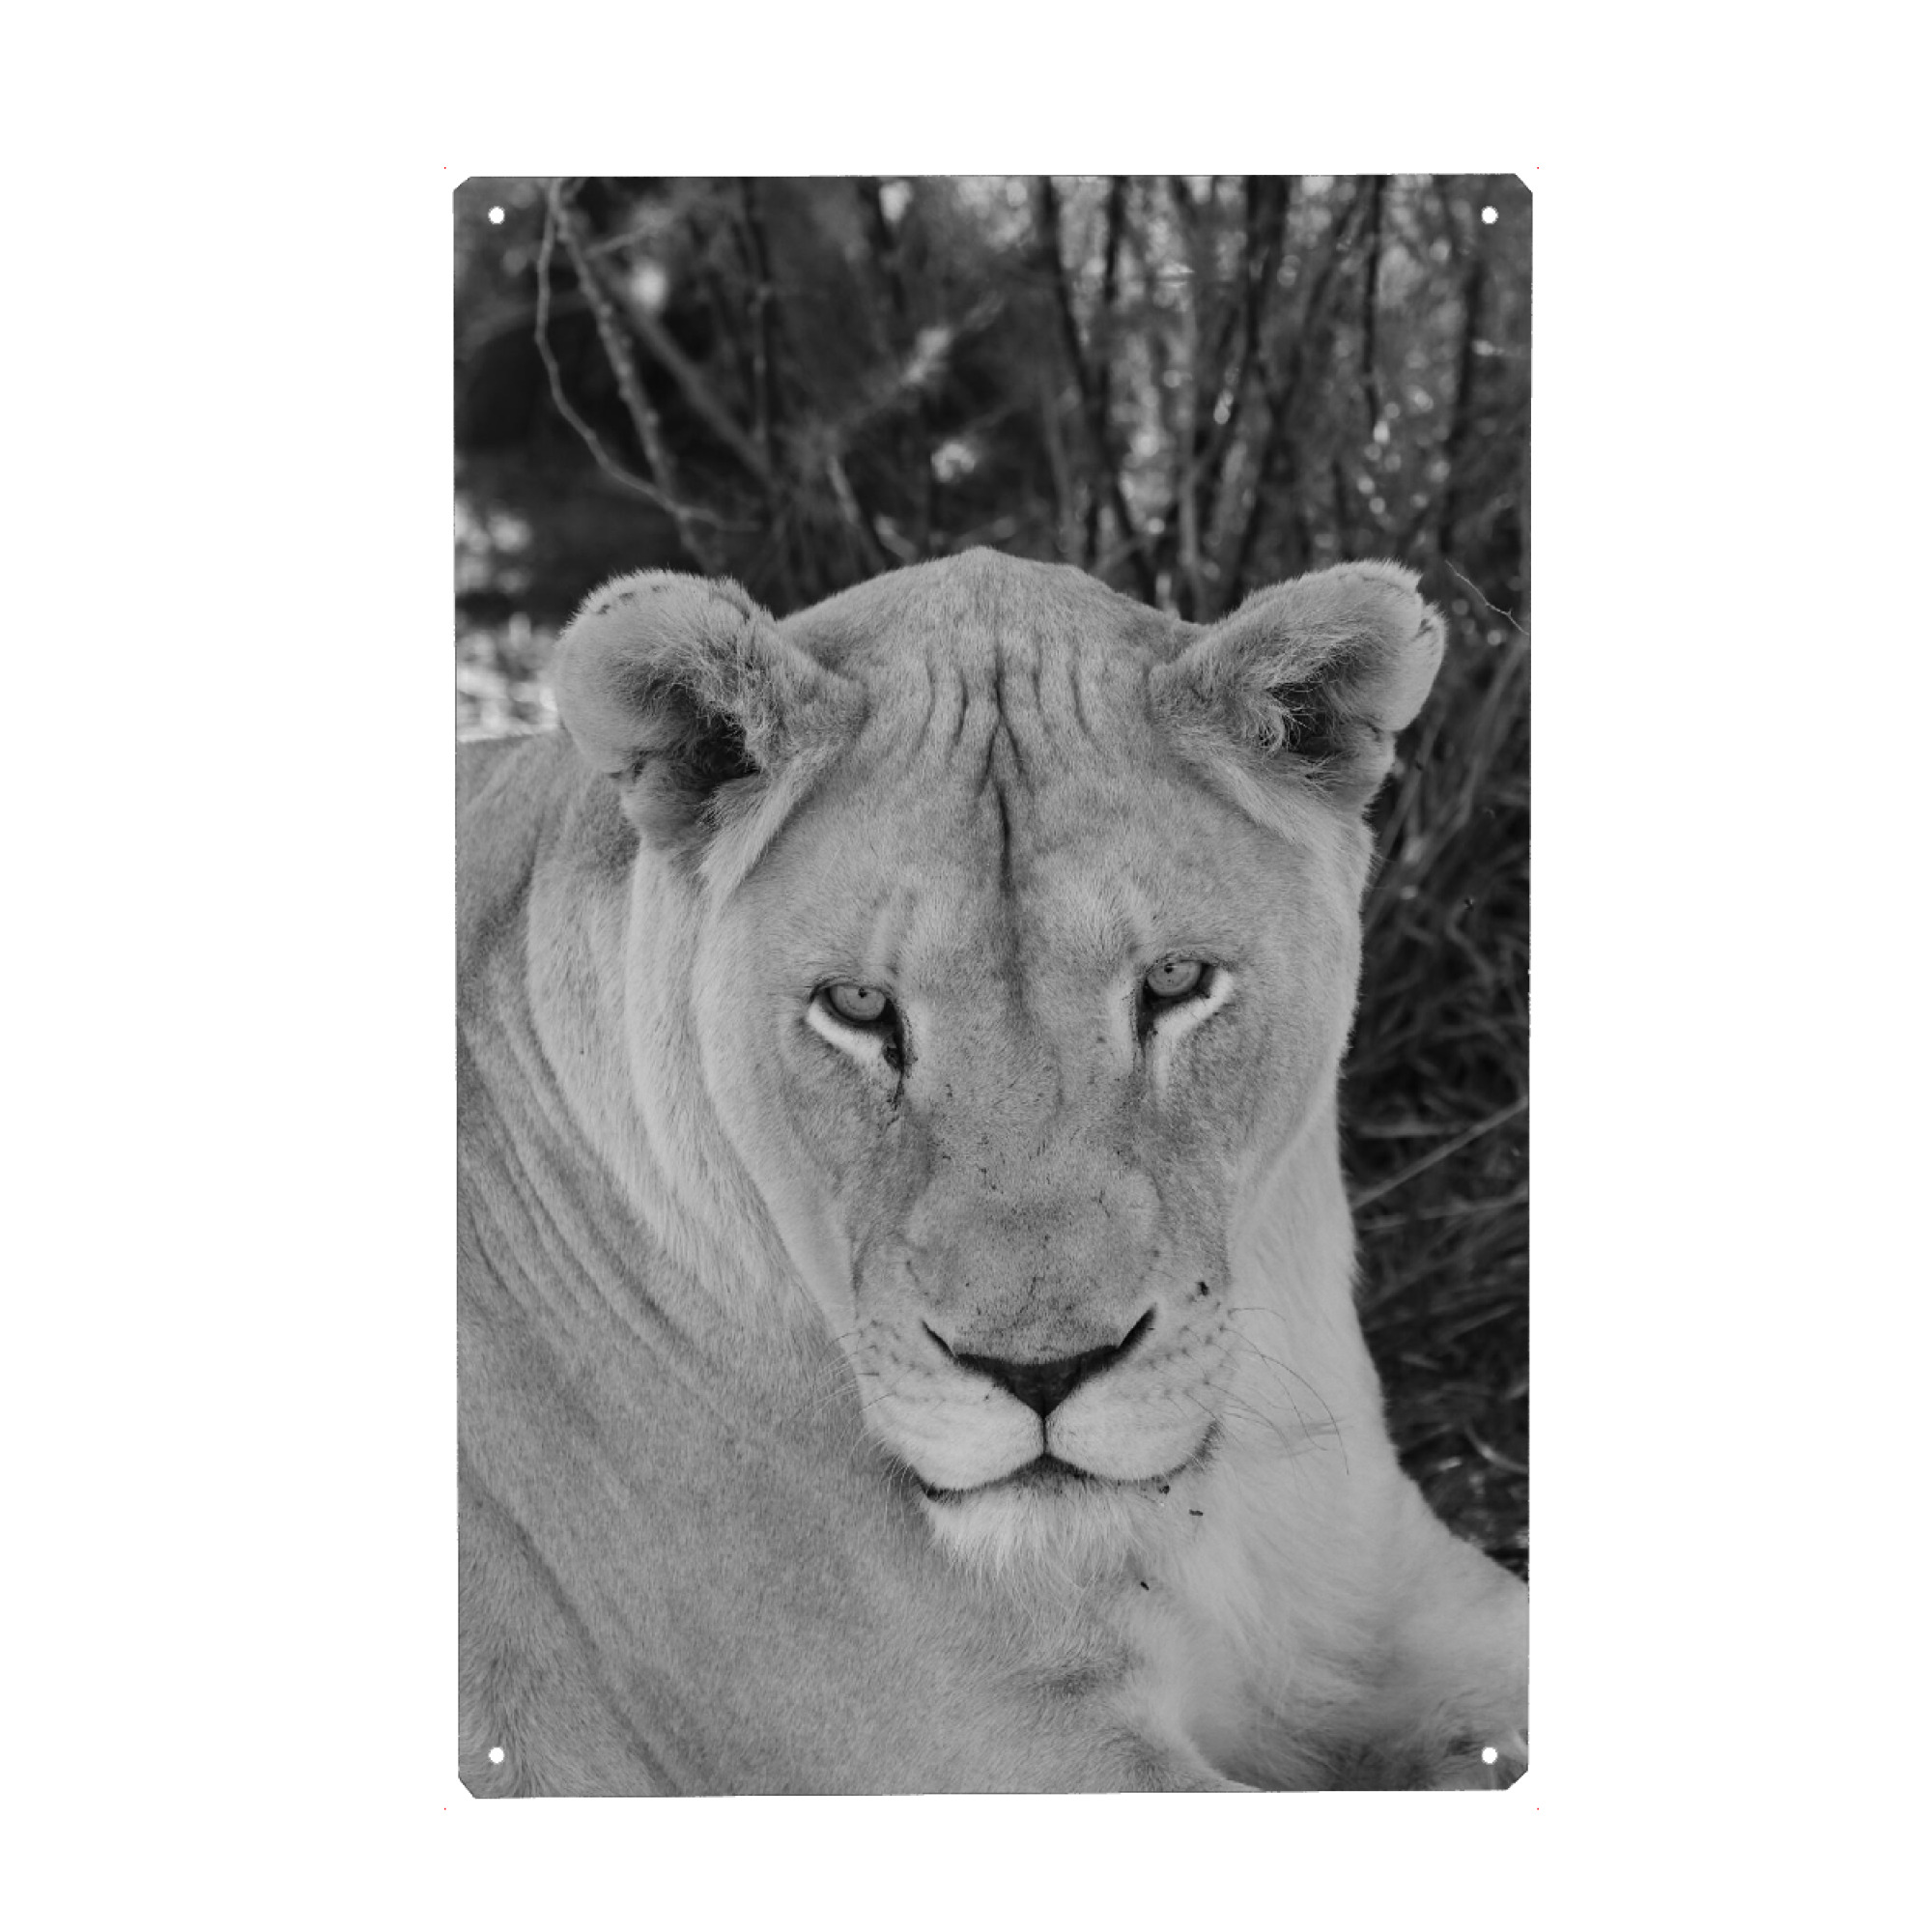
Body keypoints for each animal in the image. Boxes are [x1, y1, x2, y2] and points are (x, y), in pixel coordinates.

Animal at [457, 548, 1527, 1794]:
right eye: (857, 1005)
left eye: (1173, 980)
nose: (1042, 1373)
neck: (1212, 1497)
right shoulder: (1010, 1746)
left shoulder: (1406, 1594)